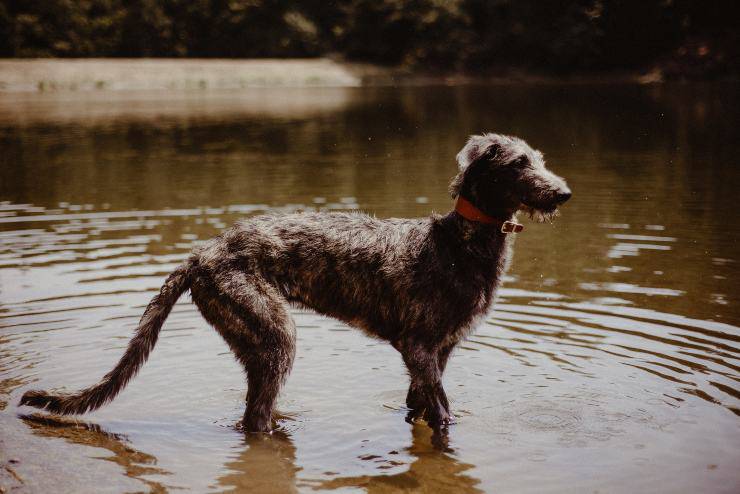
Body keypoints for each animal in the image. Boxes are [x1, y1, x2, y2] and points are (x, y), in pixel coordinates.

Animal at [18, 134, 572, 432]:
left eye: (541, 158)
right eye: (519, 163)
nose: (564, 193)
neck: (460, 241)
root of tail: (202, 254)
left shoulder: (438, 352)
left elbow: (419, 407)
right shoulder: (418, 346)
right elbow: (442, 413)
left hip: (253, 339)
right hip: (272, 330)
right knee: (255, 415)